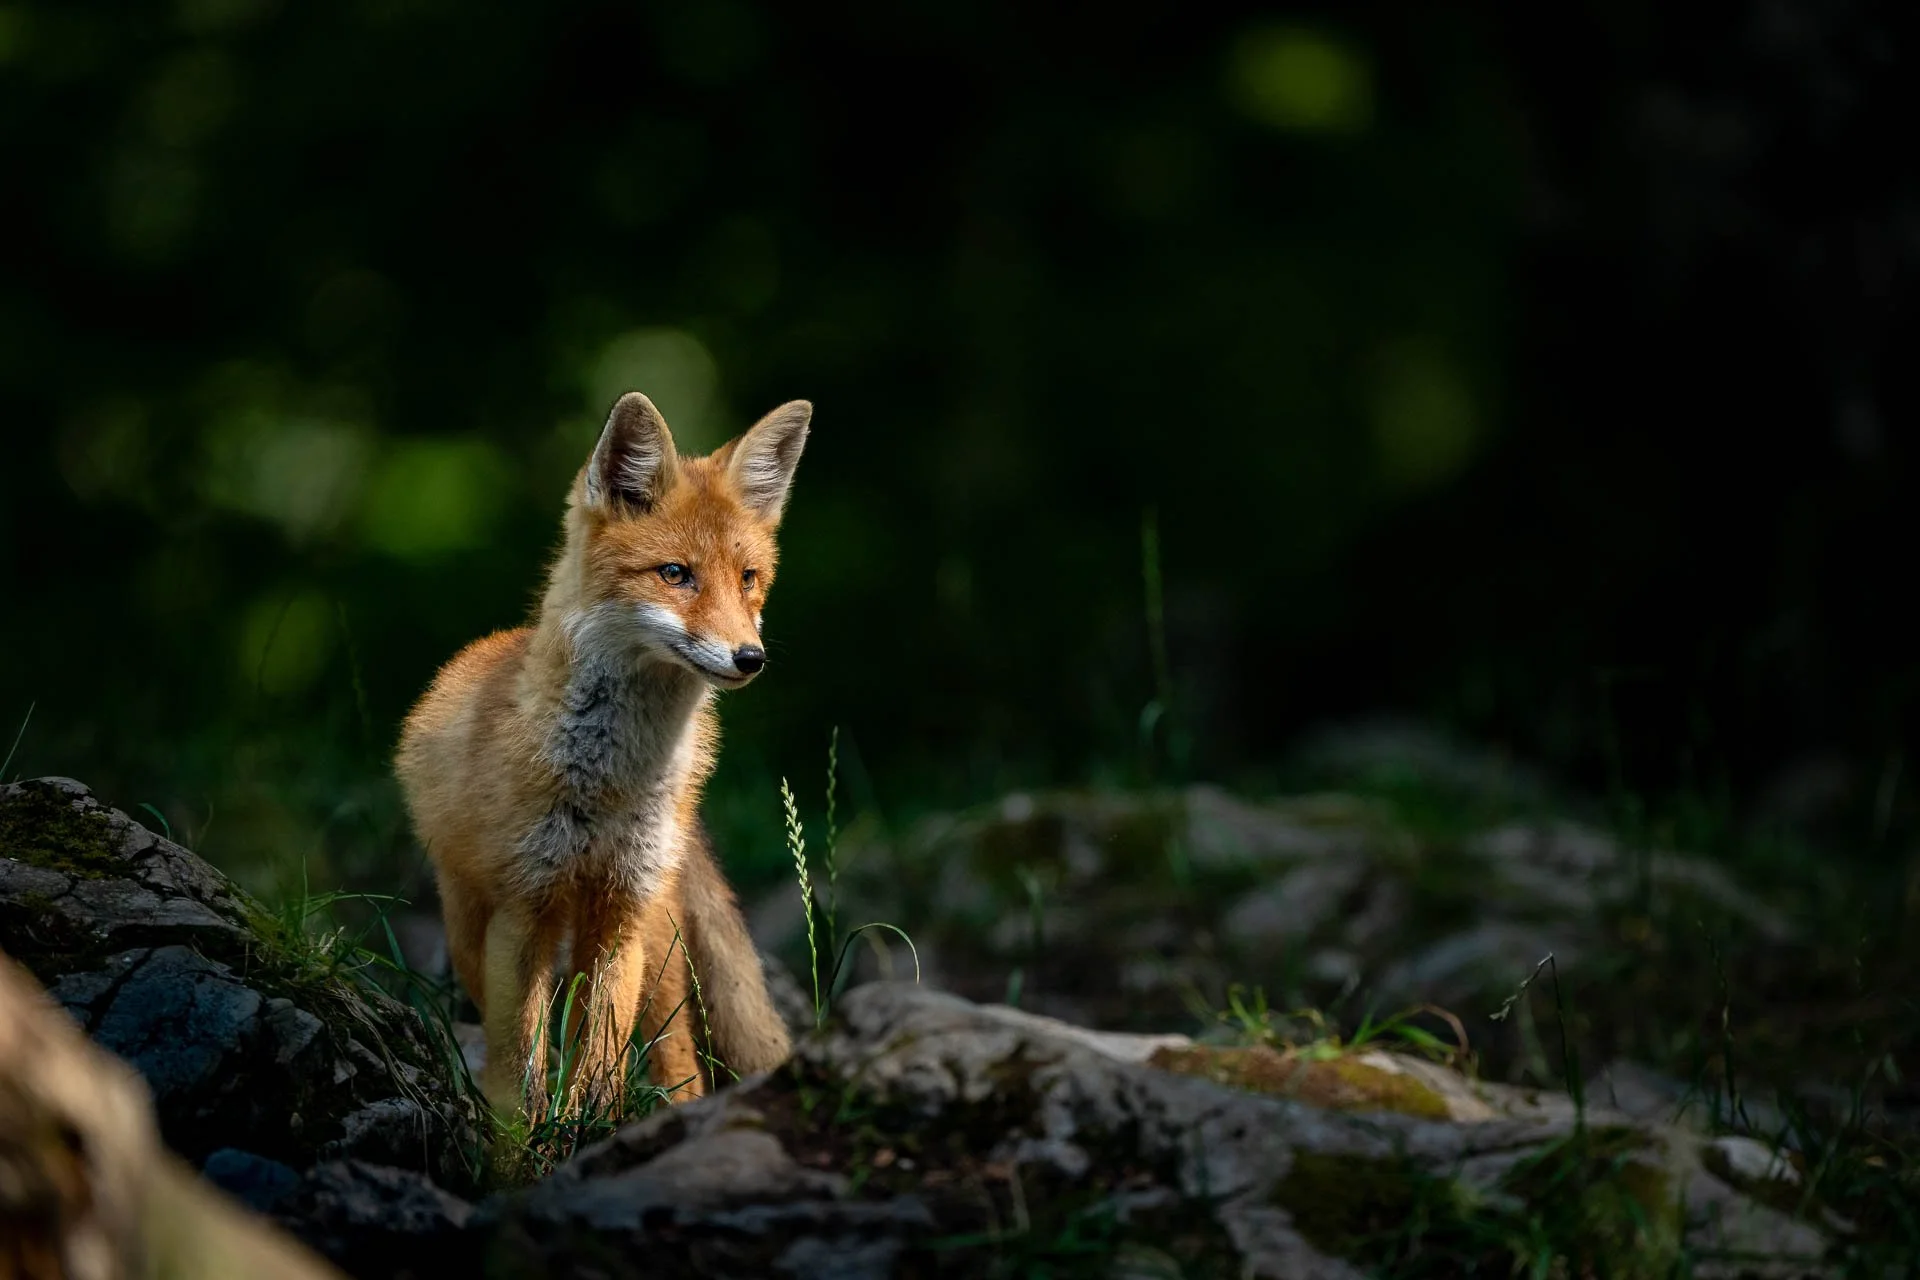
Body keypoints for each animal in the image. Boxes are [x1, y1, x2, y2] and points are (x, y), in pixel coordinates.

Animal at [394, 390, 808, 1119]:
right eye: (676, 575)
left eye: (749, 579)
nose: (749, 658)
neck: (611, 780)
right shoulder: (525, 904)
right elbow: (522, 1057)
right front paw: (521, 1135)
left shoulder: (622, 907)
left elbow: (604, 1052)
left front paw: (592, 1123)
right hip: (469, 917)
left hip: (654, 935)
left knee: (677, 1054)